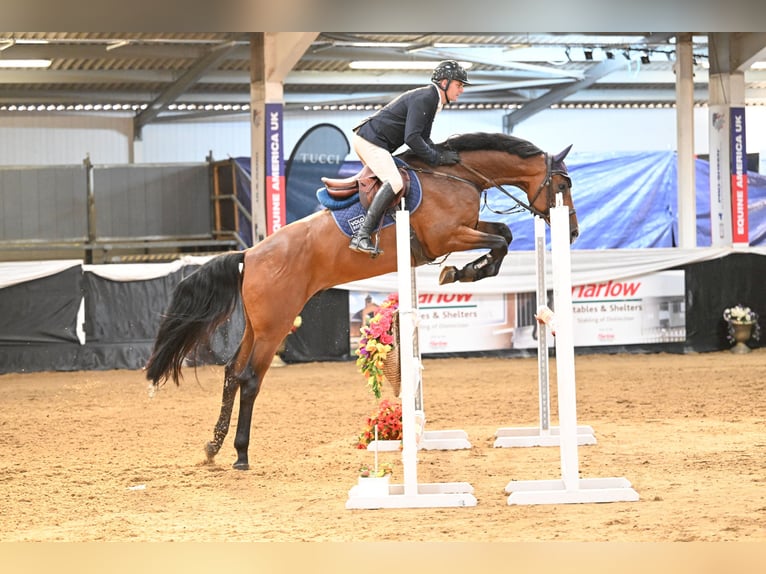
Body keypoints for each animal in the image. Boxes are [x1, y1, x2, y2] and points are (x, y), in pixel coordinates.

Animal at [146, 132, 576, 472]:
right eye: (563, 184)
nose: (572, 231)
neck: (458, 174)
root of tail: (249, 254)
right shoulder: (449, 235)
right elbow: (501, 239)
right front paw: (461, 272)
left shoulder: (465, 230)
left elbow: (503, 232)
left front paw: (464, 271)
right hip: (275, 326)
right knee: (250, 378)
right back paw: (240, 454)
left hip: (257, 325)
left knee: (232, 373)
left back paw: (212, 447)